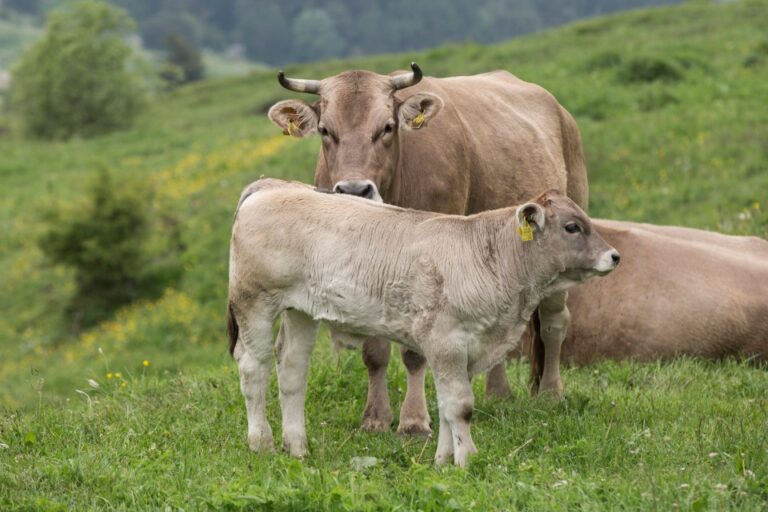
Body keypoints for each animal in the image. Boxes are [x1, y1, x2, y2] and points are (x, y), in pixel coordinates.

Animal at [227, 179, 620, 466]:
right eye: (572, 227)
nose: (615, 256)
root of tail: (274, 185)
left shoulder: (461, 349)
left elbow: (446, 405)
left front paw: (444, 460)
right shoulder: (446, 341)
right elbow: (460, 404)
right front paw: (468, 460)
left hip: (301, 311)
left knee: (292, 370)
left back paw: (297, 446)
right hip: (255, 302)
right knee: (254, 368)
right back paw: (261, 442)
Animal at [267, 63, 587, 434]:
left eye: (387, 127)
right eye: (324, 130)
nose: (354, 189)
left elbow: (415, 354)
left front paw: (414, 420)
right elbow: (375, 350)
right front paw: (376, 416)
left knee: (553, 323)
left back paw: (550, 392)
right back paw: (498, 393)